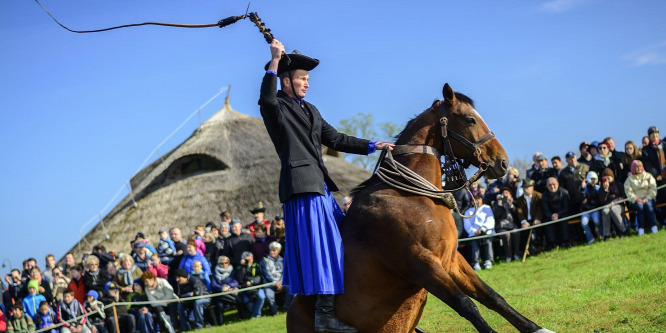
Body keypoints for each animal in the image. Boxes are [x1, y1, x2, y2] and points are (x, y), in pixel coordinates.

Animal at [288, 83, 552, 332]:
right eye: (470, 119)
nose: (502, 161)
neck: (410, 196)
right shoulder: (421, 264)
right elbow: (467, 305)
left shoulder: (452, 260)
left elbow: (492, 297)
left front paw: (537, 328)